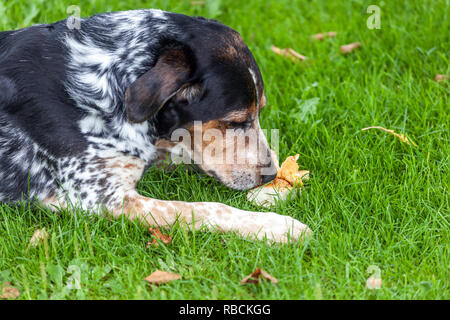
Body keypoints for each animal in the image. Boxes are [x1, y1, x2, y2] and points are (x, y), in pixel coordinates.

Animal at [0, 9, 310, 242]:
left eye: (261, 111)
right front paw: (276, 227)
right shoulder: (101, 197)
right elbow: (206, 209)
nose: (270, 175)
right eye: (235, 122)